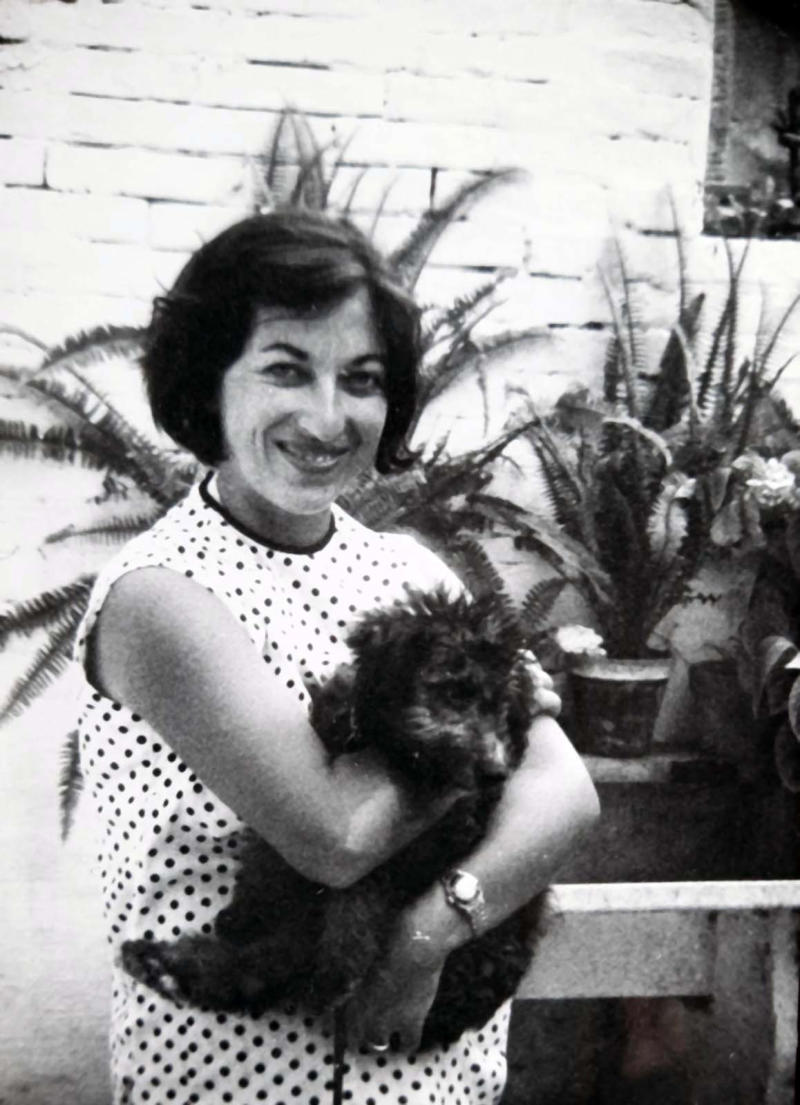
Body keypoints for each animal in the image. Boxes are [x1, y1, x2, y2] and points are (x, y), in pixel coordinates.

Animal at [121, 586, 548, 1049]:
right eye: (456, 692)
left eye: (503, 707)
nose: (497, 771)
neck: (393, 753)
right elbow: (271, 859)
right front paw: (248, 906)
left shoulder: (435, 840)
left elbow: (359, 891)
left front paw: (340, 959)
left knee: (280, 960)